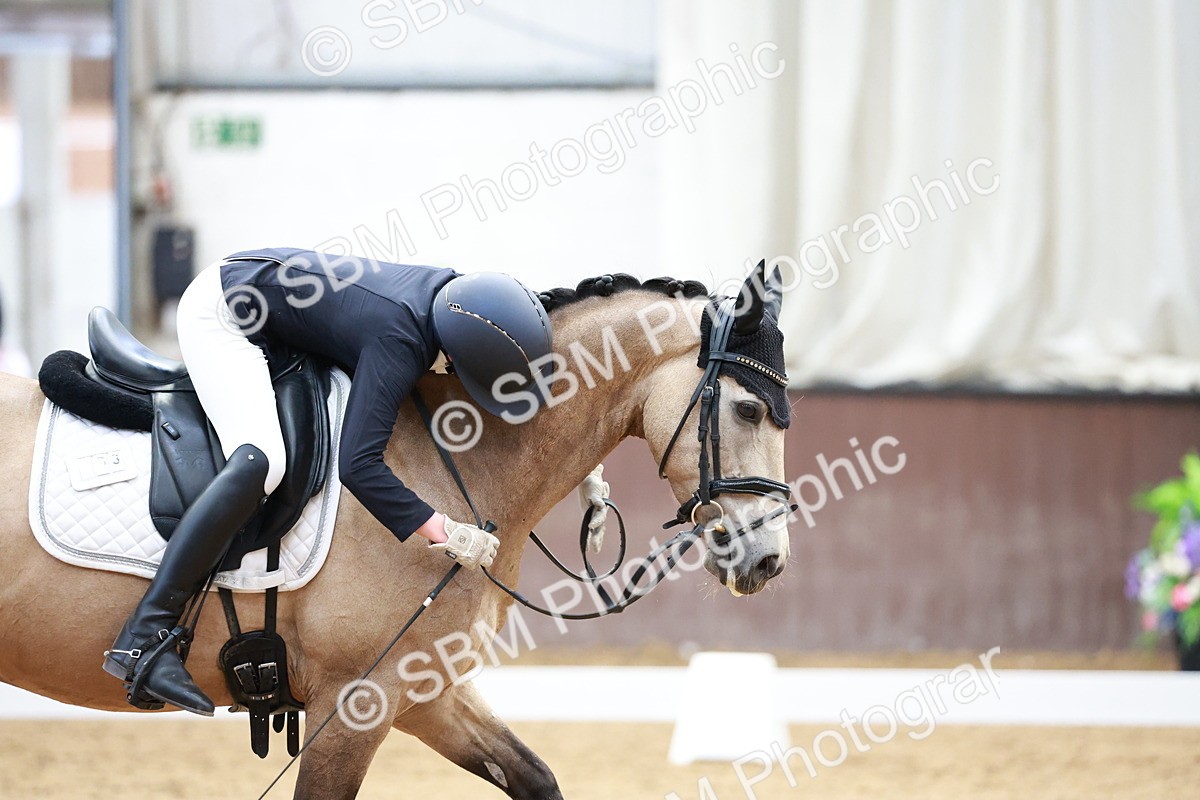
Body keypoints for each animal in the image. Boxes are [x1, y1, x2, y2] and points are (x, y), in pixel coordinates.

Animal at [0, 270, 792, 799]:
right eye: (750, 410)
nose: (768, 560)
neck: (453, 452)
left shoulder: (423, 689)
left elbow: (535, 777)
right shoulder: (353, 702)